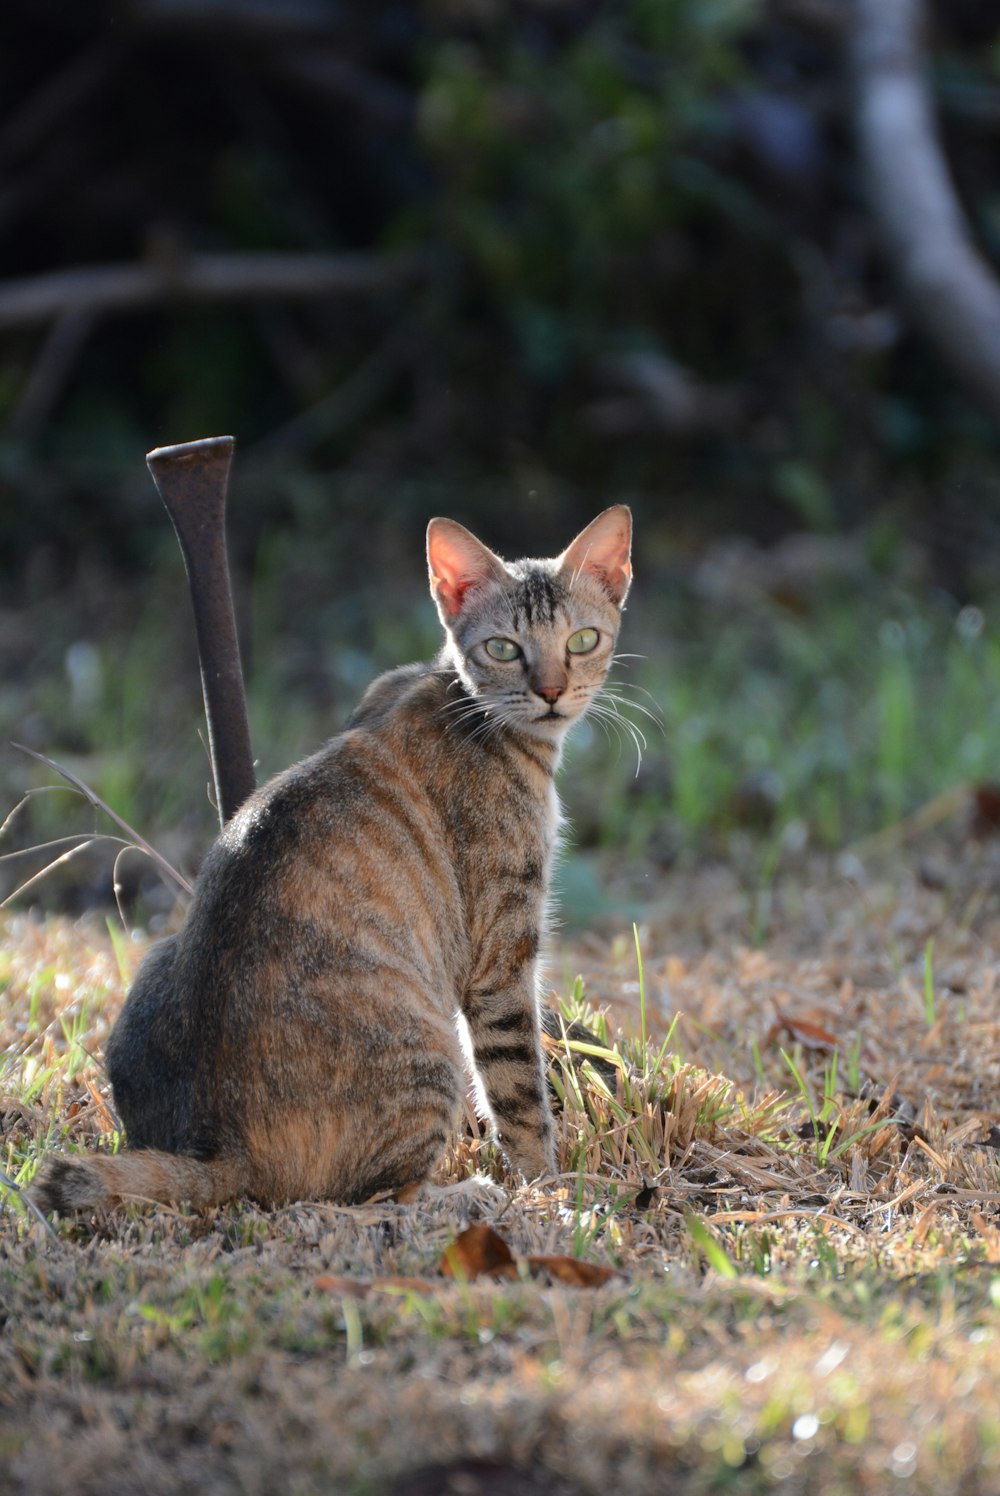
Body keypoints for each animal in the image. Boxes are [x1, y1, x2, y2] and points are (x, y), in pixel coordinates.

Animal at [39, 508, 637, 1208]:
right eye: (503, 648)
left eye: (582, 640)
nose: (550, 691)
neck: (460, 696)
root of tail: (222, 1150)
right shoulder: (502, 958)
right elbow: (520, 1094)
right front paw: (552, 1189)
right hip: (428, 1046)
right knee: (384, 1198)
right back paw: (471, 1193)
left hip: (163, 953)